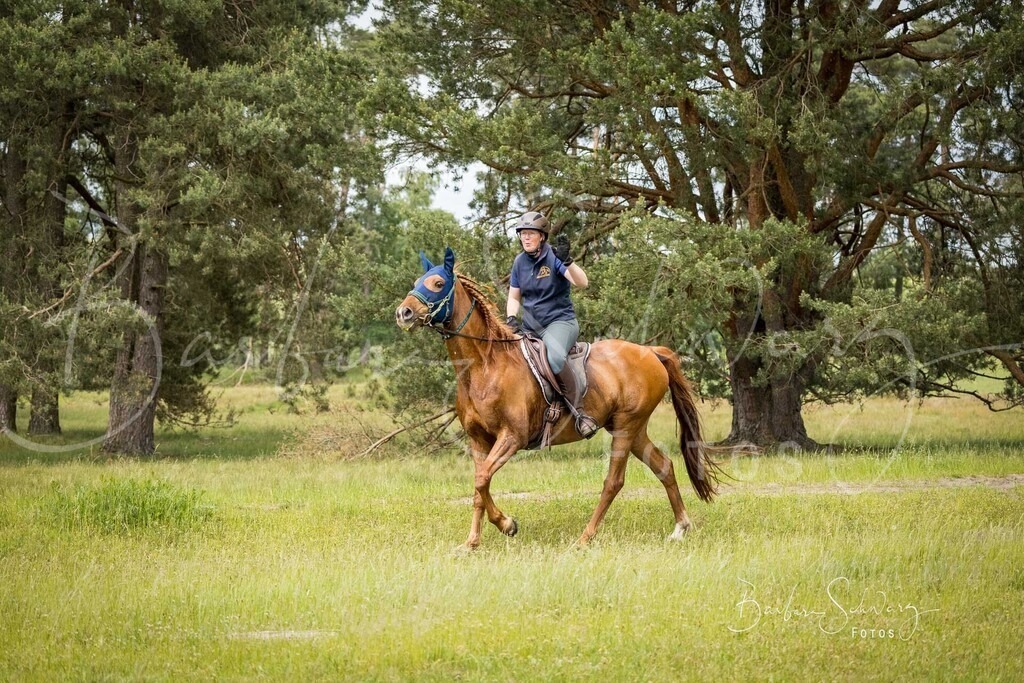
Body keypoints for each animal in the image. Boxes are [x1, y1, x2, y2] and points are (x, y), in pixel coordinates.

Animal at [395, 247, 719, 548]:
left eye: (438, 283)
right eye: (417, 281)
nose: (403, 314)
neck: (484, 367)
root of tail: (651, 352)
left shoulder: (512, 437)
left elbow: (481, 479)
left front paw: (504, 525)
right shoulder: (478, 440)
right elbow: (479, 487)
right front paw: (475, 540)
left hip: (627, 427)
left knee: (613, 482)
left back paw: (585, 537)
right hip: (630, 428)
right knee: (663, 466)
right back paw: (680, 528)